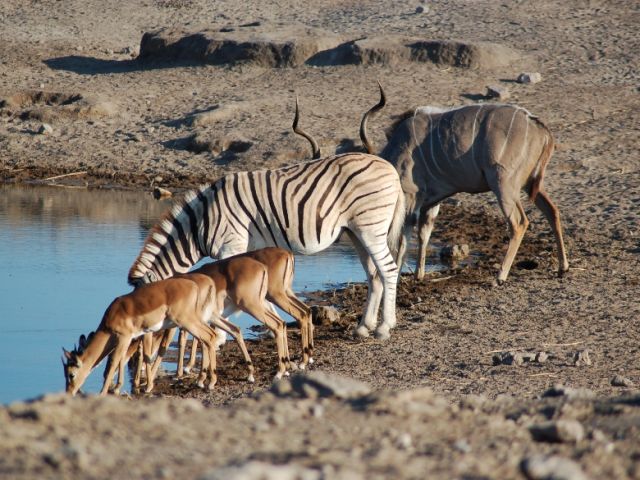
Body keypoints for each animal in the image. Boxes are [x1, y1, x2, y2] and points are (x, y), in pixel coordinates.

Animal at [129, 154, 404, 342]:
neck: (199, 225)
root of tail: (390, 168)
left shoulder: (231, 245)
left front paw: (220, 336)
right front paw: (273, 327)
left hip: (370, 227)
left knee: (388, 270)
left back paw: (384, 327)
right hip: (356, 231)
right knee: (374, 274)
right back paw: (364, 327)